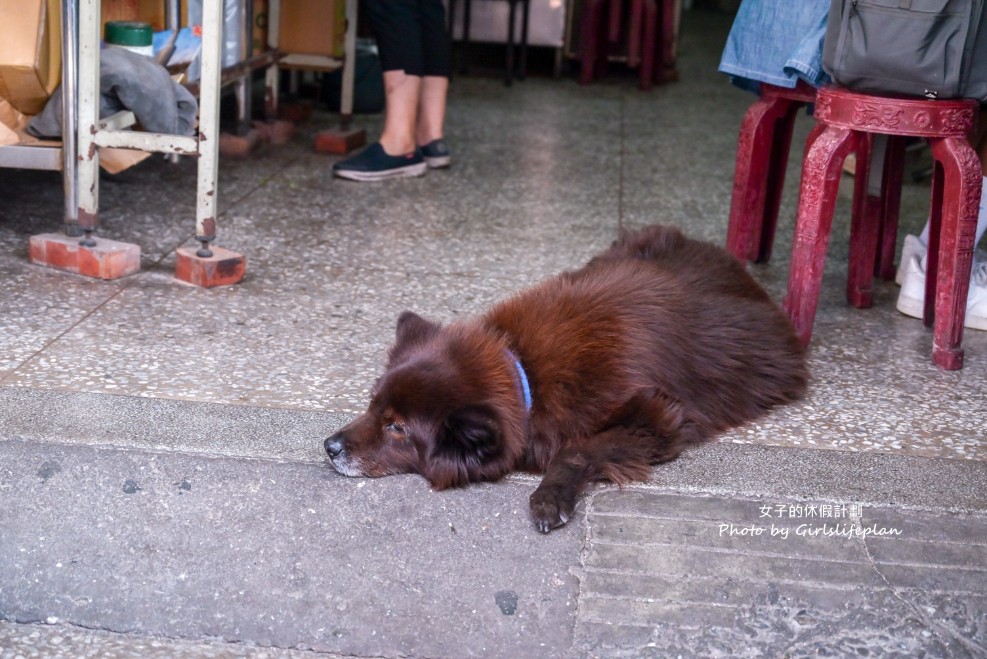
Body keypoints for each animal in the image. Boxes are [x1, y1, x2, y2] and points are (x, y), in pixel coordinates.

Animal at [328, 224, 808, 532]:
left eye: (397, 428)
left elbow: (577, 449)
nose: (328, 447)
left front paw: (551, 495)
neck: (524, 374)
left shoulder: (656, 418)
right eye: (372, 405)